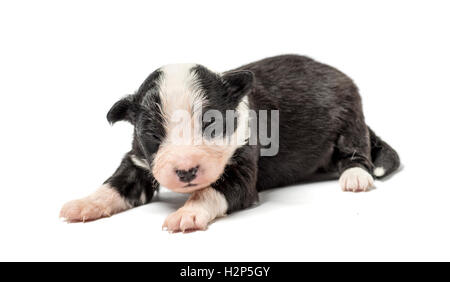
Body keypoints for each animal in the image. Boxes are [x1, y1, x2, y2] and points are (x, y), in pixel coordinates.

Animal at [60, 54, 400, 231]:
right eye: (153, 134)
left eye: (211, 125)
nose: (186, 171)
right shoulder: (138, 161)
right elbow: (115, 185)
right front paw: (84, 203)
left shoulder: (241, 169)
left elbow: (211, 191)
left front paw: (187, 214)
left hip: (349, 119)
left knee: (357, 152)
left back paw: (355, 176)